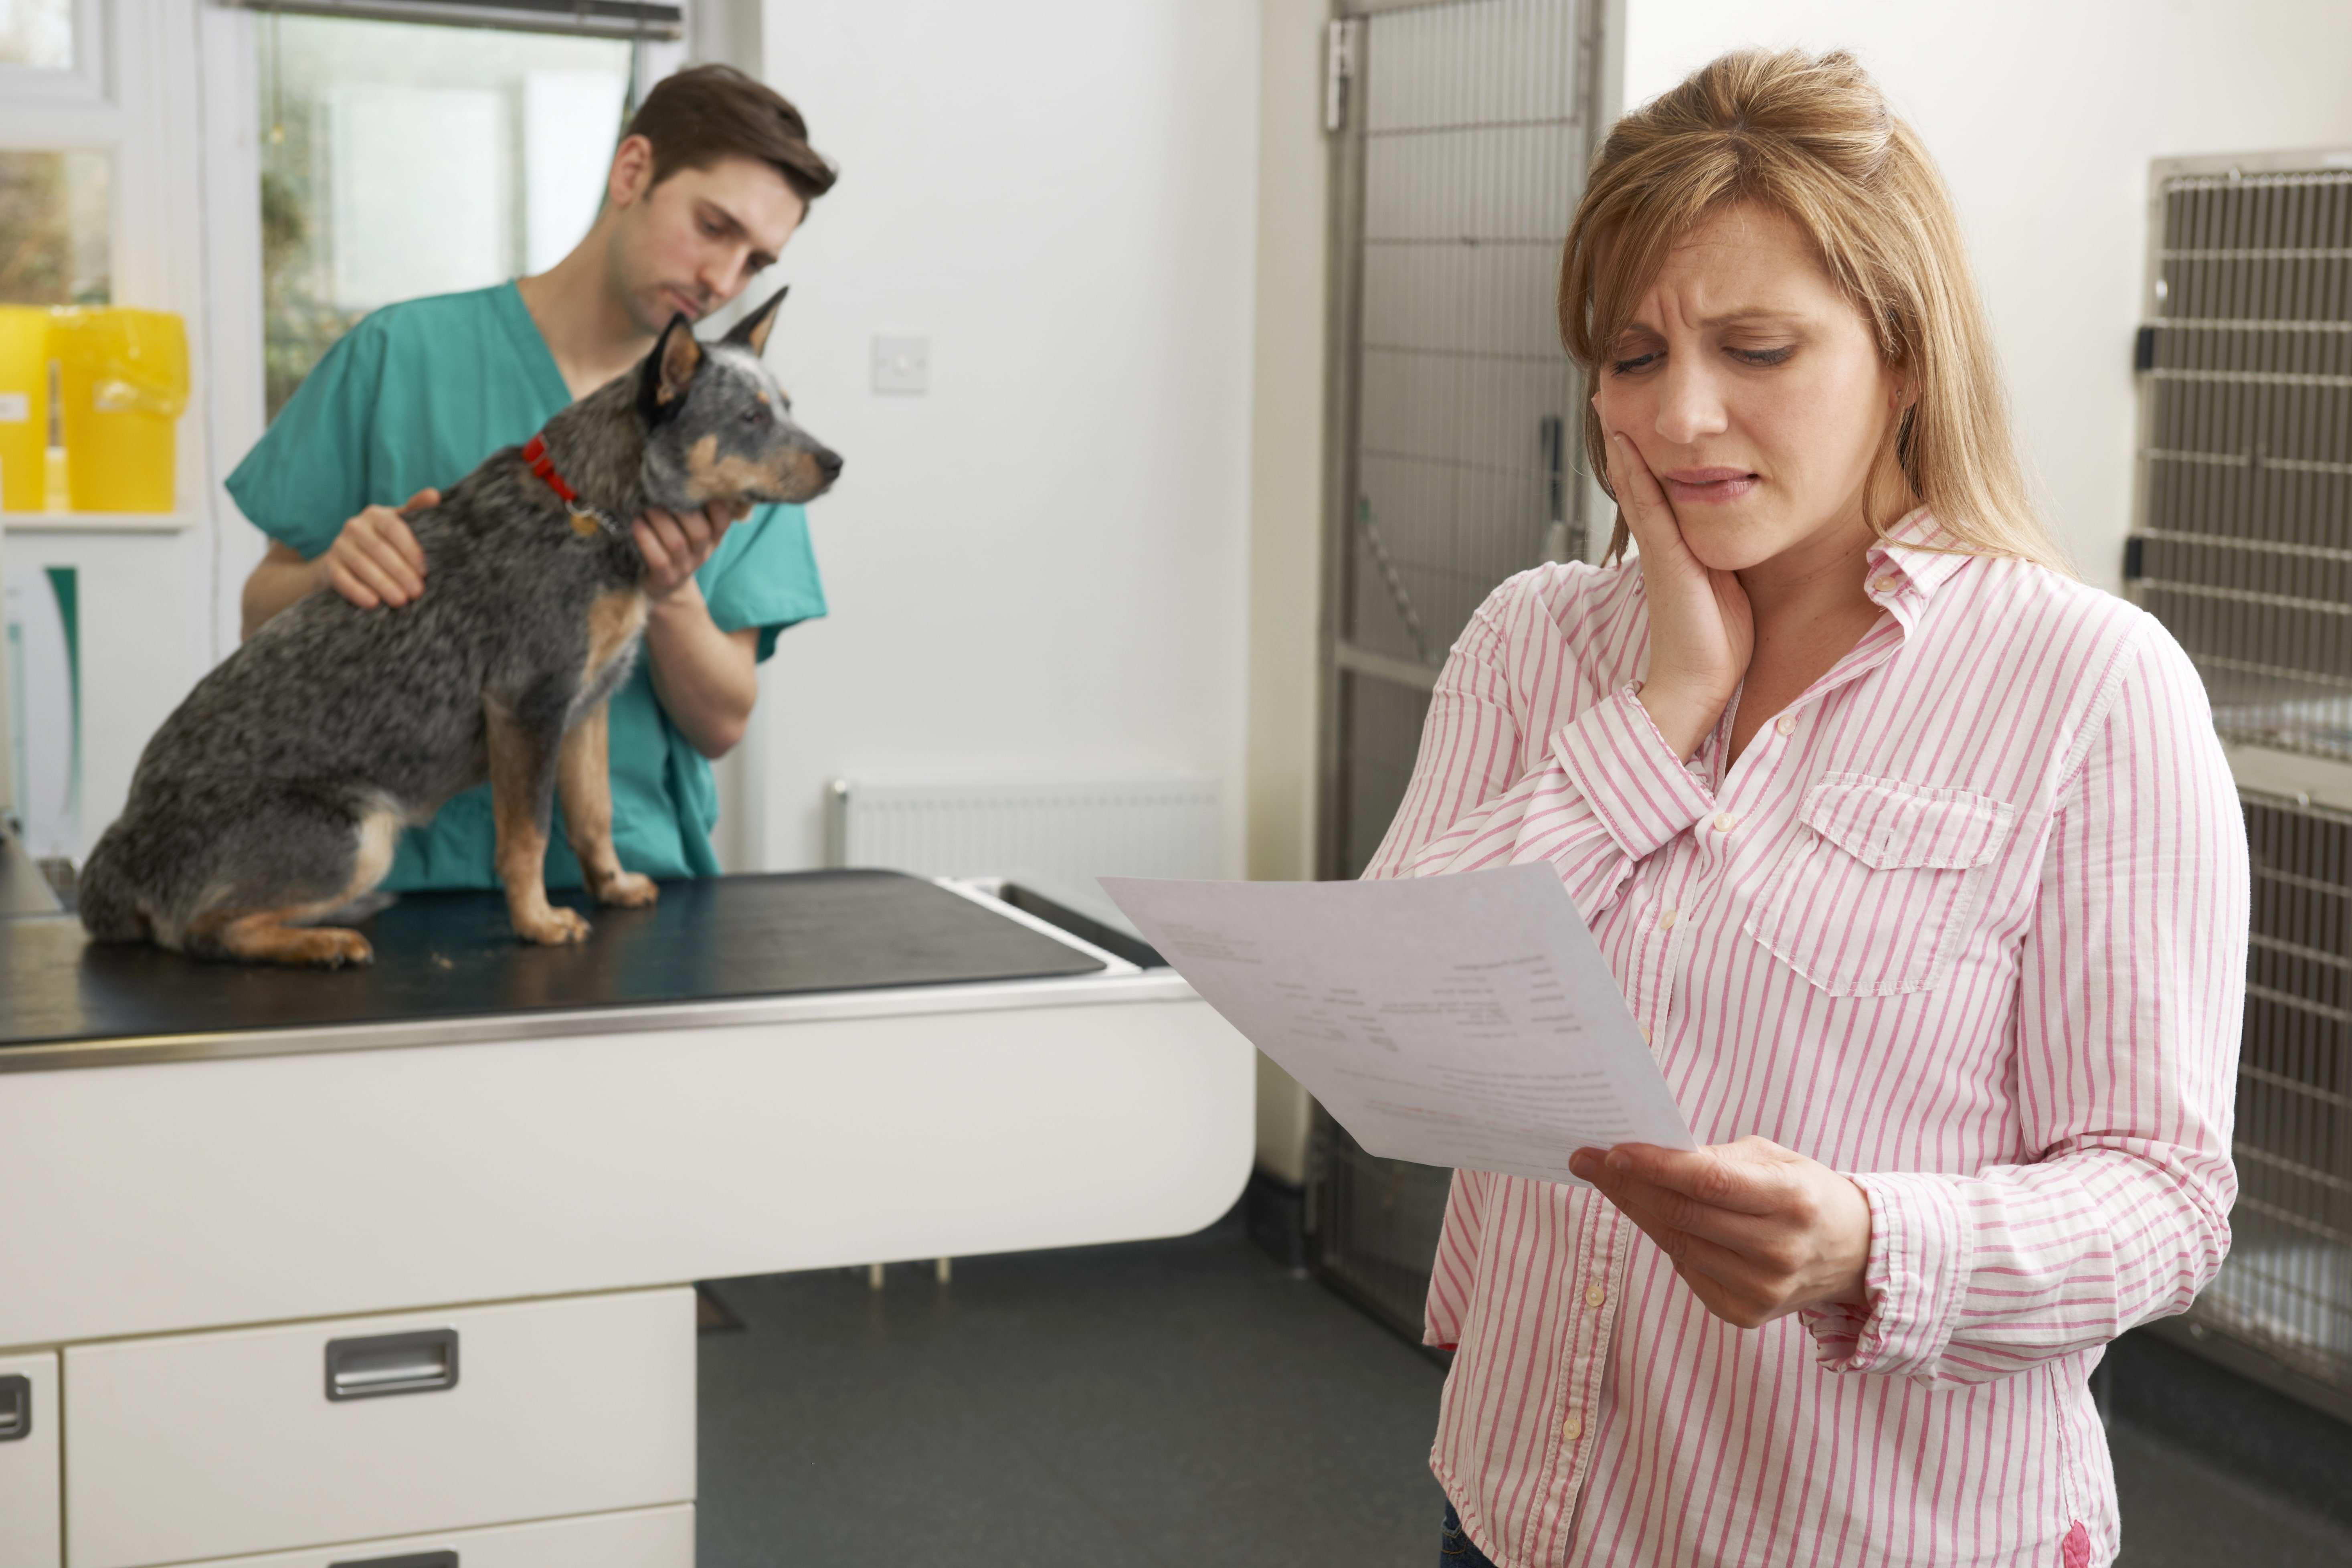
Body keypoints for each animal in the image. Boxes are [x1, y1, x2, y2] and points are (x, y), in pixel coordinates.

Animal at [78, 288, 842, 964]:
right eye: (749, 417)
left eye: (788, 408)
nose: (837, 462)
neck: (590, 510)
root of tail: (113, 864)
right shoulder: (527, 705)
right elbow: (528, 835)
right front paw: (537, 923)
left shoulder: (586, 708)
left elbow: (594, 817)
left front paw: (614, 886)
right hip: (362, 835)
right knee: (204, 930)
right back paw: (325, 941)